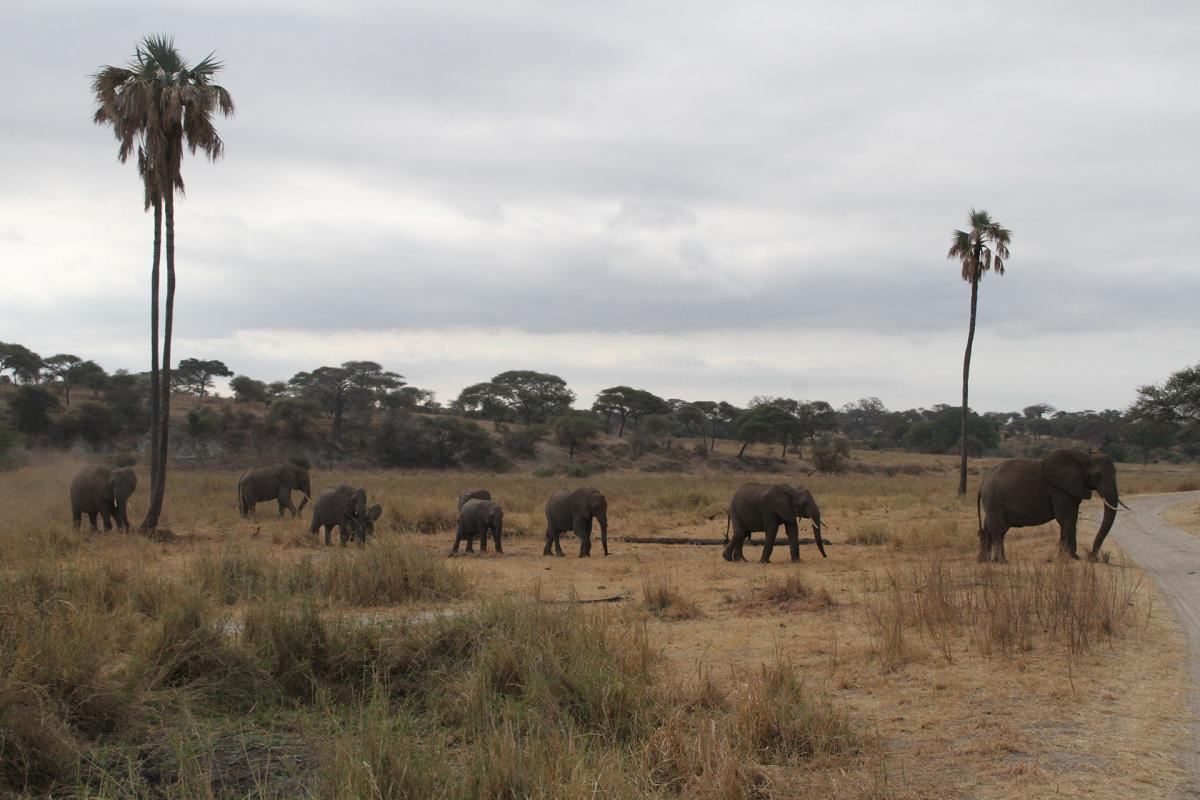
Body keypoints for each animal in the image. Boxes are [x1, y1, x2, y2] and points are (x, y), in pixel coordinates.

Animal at [974, 443, 1123, 563]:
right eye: (1097, 476)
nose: (1092, 557)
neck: (1084, 457)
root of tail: (982, 485)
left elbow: (1073, 519)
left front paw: (1075, 558)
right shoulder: (1059, 490)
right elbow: (1067, 519)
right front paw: (1065, 559)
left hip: (991, 502)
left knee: (988, 529)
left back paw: (985, 561)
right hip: (993, 500)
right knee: (999, 531)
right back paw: (1002, 562)